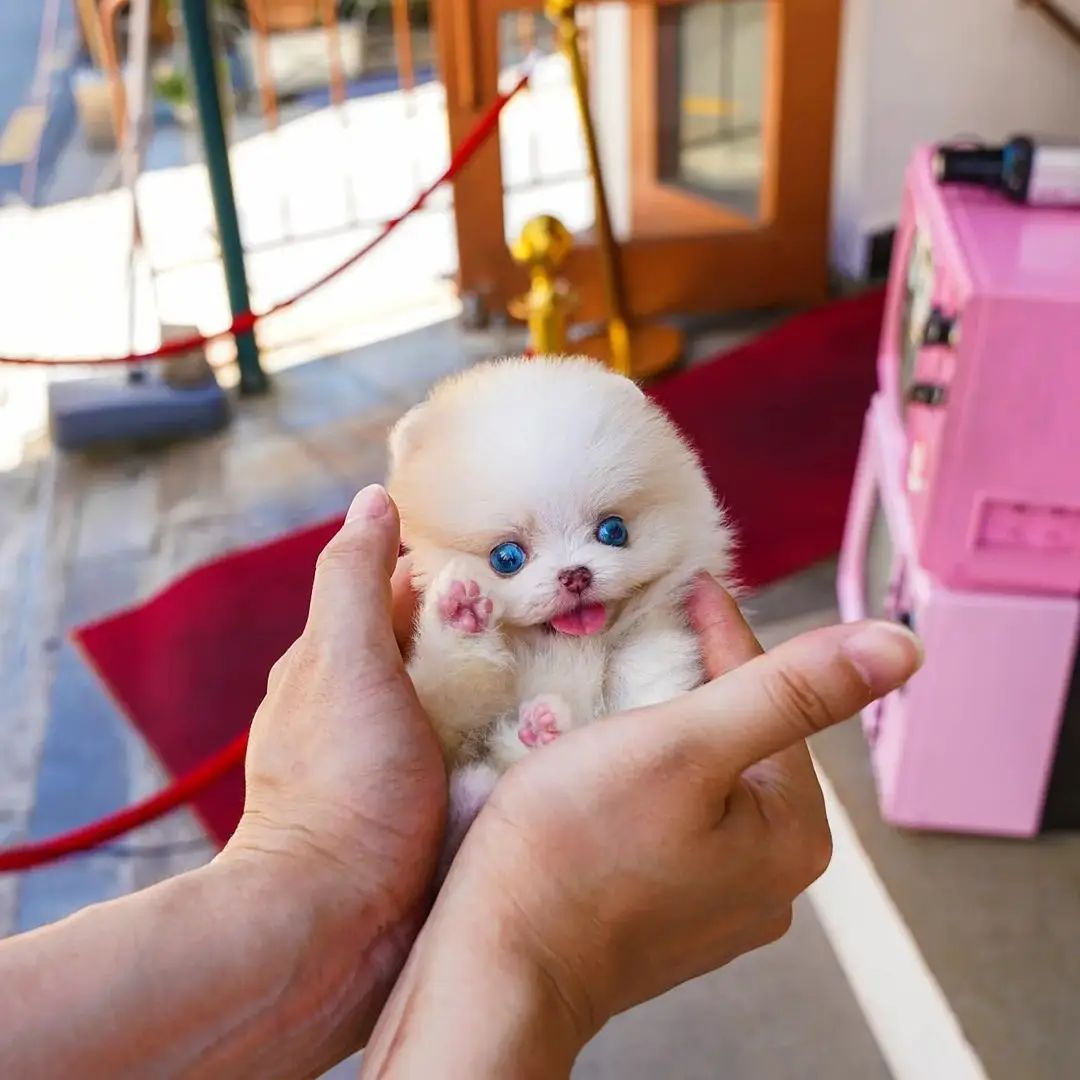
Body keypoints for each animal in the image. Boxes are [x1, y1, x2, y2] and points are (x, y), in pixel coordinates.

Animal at [388, 358, 734, 855]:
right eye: (506, 558)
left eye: (613, 531)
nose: (575, 575)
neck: (563, 647)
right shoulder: (443, 728)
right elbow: (449, 696)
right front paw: (461, 613)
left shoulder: (655, 642)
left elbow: (647, 674)